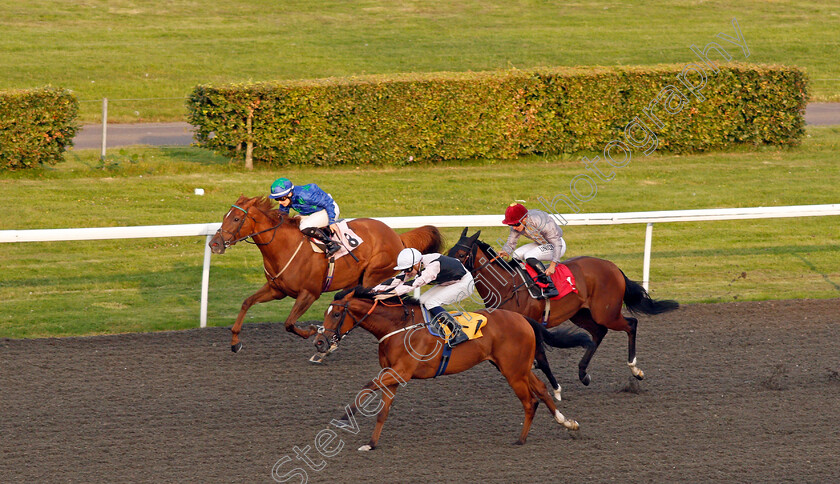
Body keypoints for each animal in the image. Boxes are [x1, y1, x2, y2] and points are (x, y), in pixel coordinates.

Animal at [208, 196, 442, 352]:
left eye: (236, 219)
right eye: (225, 216)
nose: (214, 244)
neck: (283, 246)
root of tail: (397, 237)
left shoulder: (309, 293)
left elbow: (289, 323)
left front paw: (313, 331)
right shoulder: (276, 290)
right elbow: (247, 302)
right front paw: (235, 341)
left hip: (374, 276)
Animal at [312, 288, 580, 450]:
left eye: (336, 313)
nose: (320, 342)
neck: (397, 327)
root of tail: (523, 318)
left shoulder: (401, 372)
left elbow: (366, 388)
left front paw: (343, 419)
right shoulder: (394, 376)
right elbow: (382, 411)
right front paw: (371, 443)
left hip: (513, 371)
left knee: (529, 401)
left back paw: (521, 439)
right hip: (518, 367)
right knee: (542, 390)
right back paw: (567, 423)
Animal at [450, 229, 680, 392]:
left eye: (460, 253)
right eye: (449, 251)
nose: (447, 267)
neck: (507, 286)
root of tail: (612, 266)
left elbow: (540, 358)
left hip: (606, 313)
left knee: (631, 324)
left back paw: (636, 369)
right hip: (581, 313)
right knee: (599, 333)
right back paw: (583, 374)